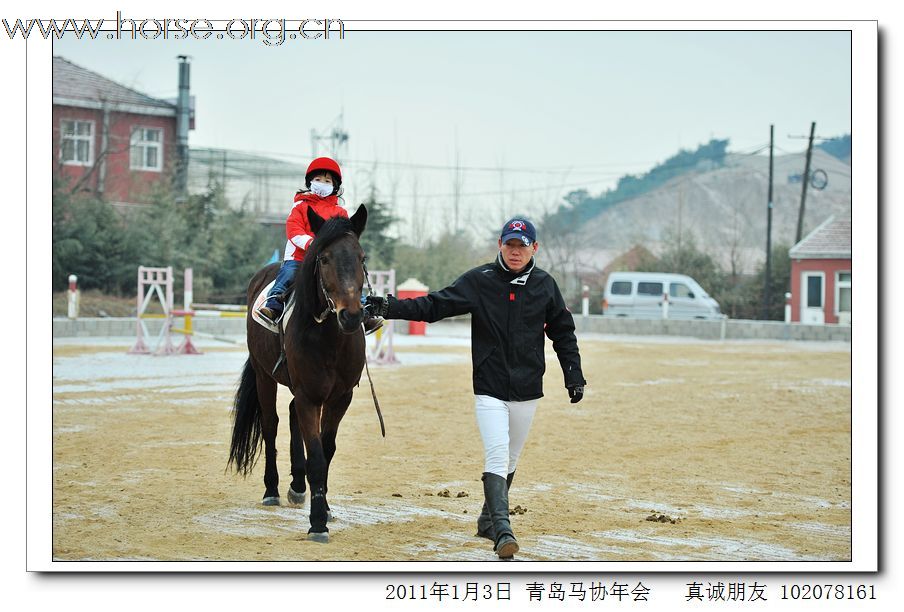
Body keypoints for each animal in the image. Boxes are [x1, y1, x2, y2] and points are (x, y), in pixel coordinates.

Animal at [230, 204, 368, 540]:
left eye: (361, 258)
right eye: (324, 258)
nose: (351, 315)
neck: (329, 337)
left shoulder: (339, 398)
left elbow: (326, 451)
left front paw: (325, 508)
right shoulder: (309, 395)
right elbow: (316, 455)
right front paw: (317, 522)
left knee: (292, 415)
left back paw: (297, 486)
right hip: (264, 377)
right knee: (271, 425)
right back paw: (273, 490)